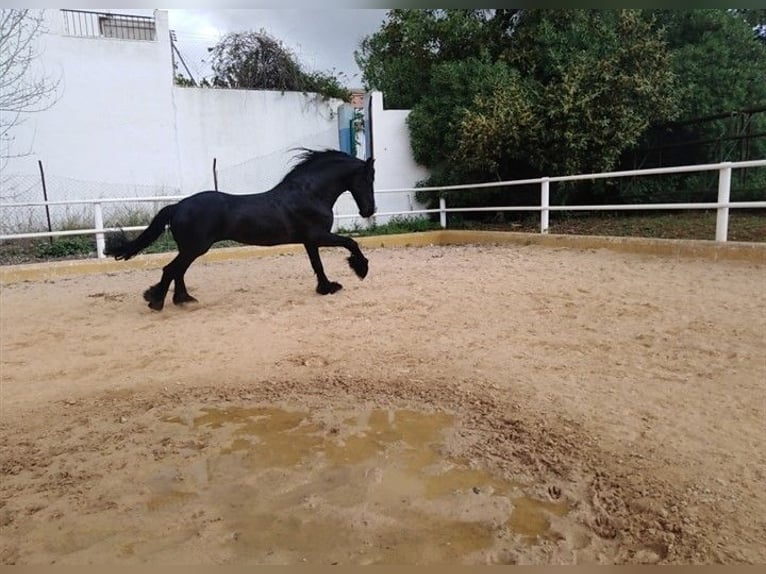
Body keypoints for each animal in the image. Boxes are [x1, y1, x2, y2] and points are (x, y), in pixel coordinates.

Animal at [104, 148, 376, 311]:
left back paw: (183, 299)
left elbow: (317, 265)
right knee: (171, 269)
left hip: (191, 249)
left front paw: (326, 287)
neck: (309, 194)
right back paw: (156, 300)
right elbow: (351, 242)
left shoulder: (310, 241)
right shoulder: (318, 236)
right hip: (195, 248)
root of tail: (178, 206)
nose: (369, 210)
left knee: (178, 270)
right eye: (367, 178)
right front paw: (360, 270)